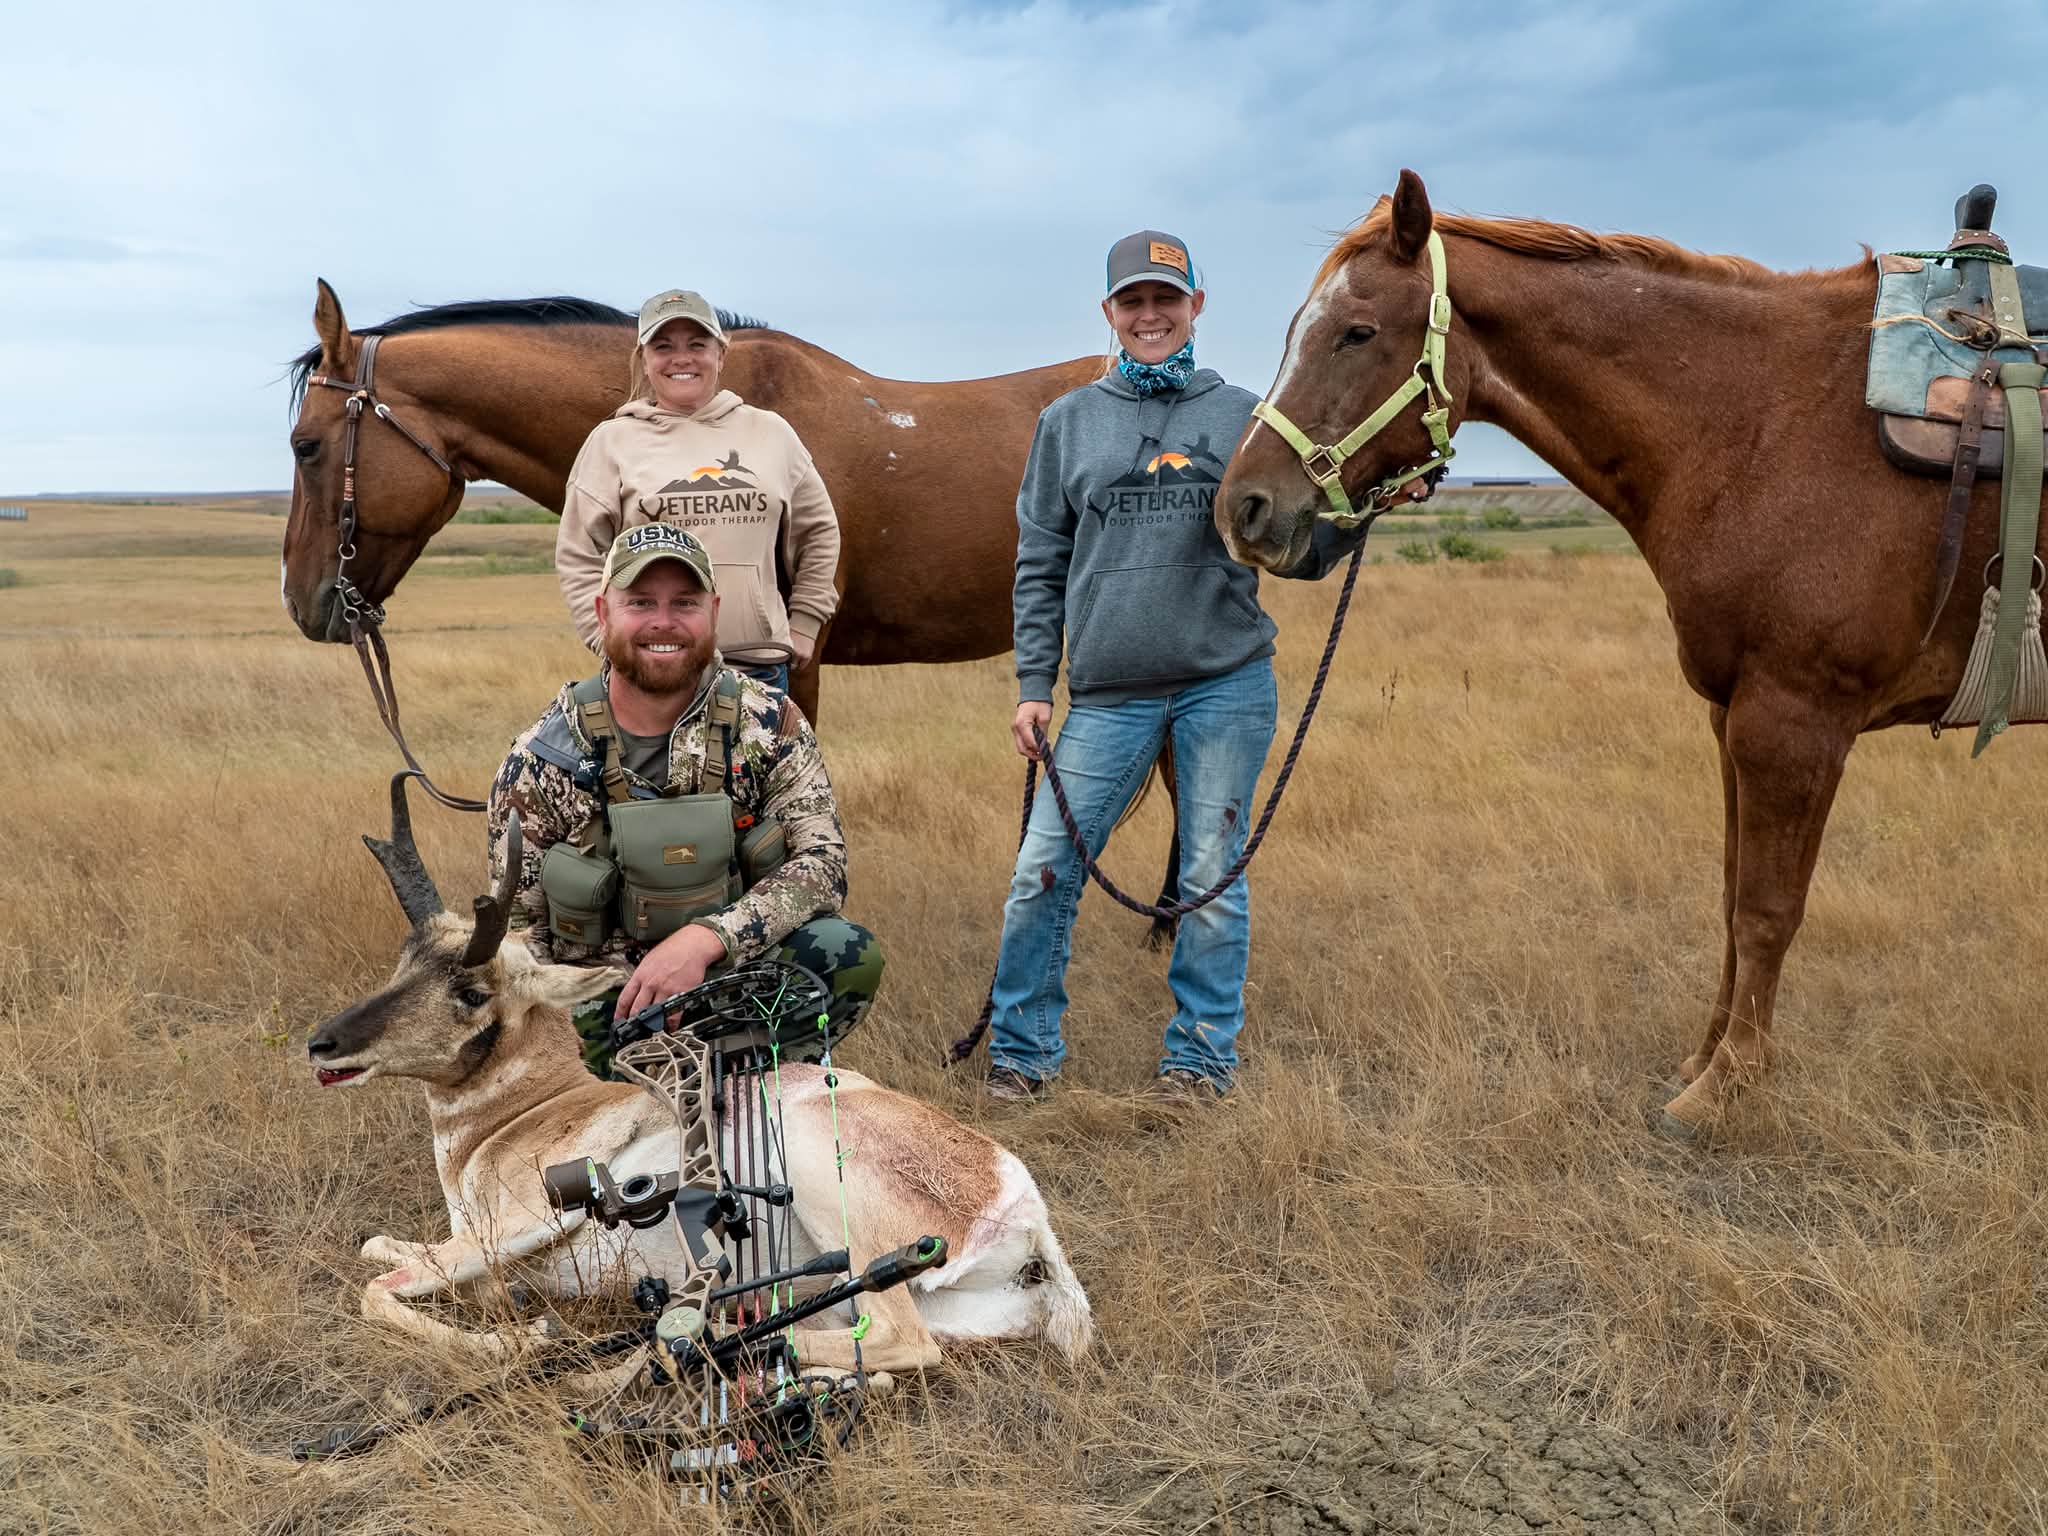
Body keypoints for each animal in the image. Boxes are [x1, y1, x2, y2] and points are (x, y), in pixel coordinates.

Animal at [307, 774, 1092, 1382]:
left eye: (471, 991)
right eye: (405, 958)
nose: (323, 1044)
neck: (531, 1109)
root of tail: (1019, 1198)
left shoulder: (513, 1227)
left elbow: (377, 1285)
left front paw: (521, 1337)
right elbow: (377, 1248)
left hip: (824, 1178)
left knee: (902, 1339)